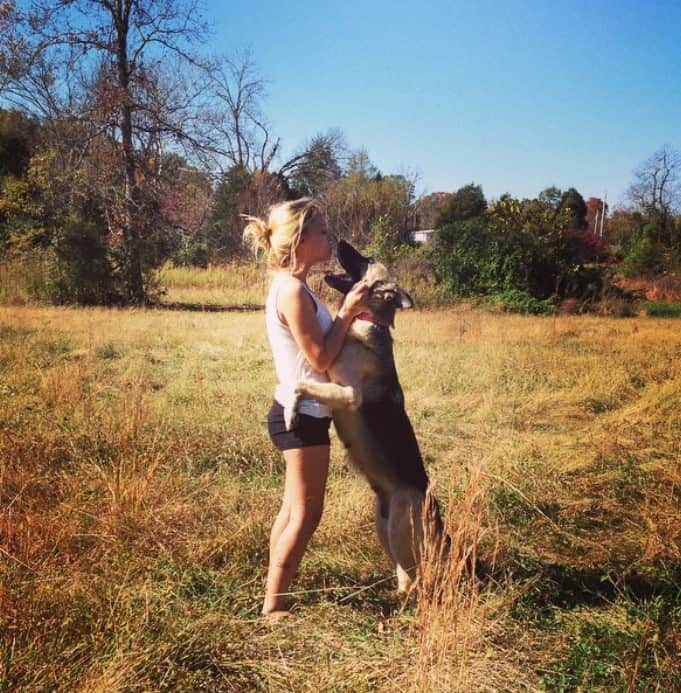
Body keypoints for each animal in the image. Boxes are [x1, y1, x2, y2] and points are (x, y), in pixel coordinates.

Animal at [288, 241, 440, 592]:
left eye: (368, 259)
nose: (339, 242)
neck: (365, 321)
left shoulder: (345, 393)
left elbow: (300, 385)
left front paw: (290, 412)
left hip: (398, 531)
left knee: (418, 579)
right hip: (382, 526)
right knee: (405, 576)